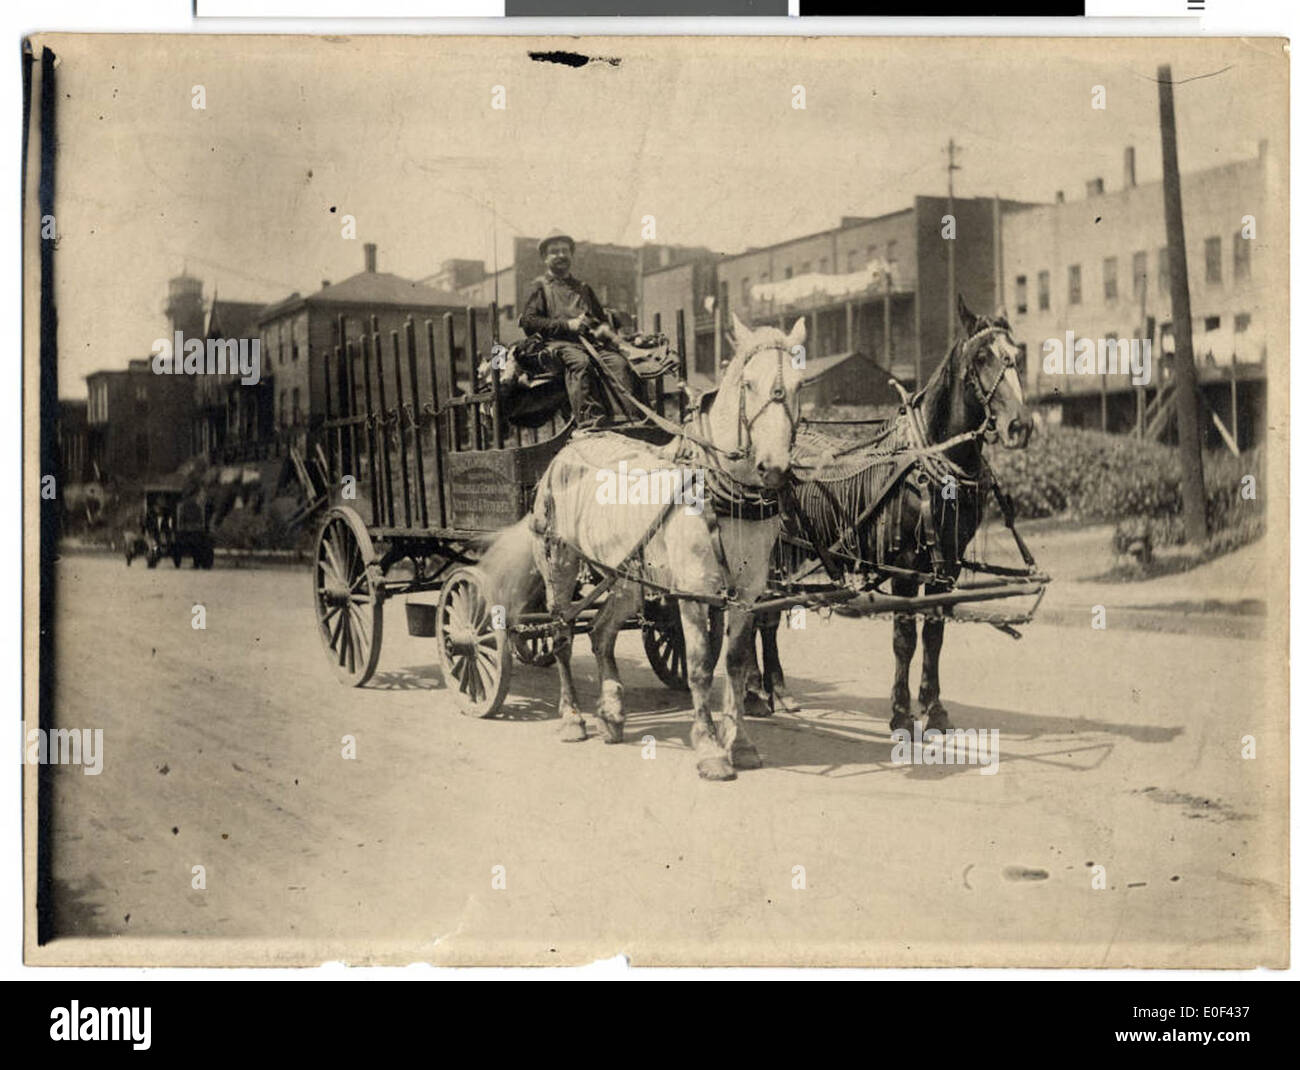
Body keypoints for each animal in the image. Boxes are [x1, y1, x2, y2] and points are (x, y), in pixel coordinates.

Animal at [527, 313, 800, 780]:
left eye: (800, 383)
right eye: (748, 384)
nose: (774, 467)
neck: (719, 487)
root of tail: (574, 442)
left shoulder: (746, 593)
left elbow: (735, 664)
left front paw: (741, 744)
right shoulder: (694, 590)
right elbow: (700, 667)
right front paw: (710, 748)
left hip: (627, 575)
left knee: (601, 632)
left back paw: (612, 713)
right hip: (559, 561)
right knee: (561, 632)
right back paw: (573, 717)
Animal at [754, 301, 1034, 738]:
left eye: (1017, 354)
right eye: (981, 357)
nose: (1019, 426)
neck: (929, 464)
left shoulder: (948, 563)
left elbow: (934, 633)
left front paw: (934, 709)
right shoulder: (904, 563)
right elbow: (905, 637)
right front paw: (901, 712)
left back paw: (777, 690)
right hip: (772, 552)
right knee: (754, 614)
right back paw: (755, 691)